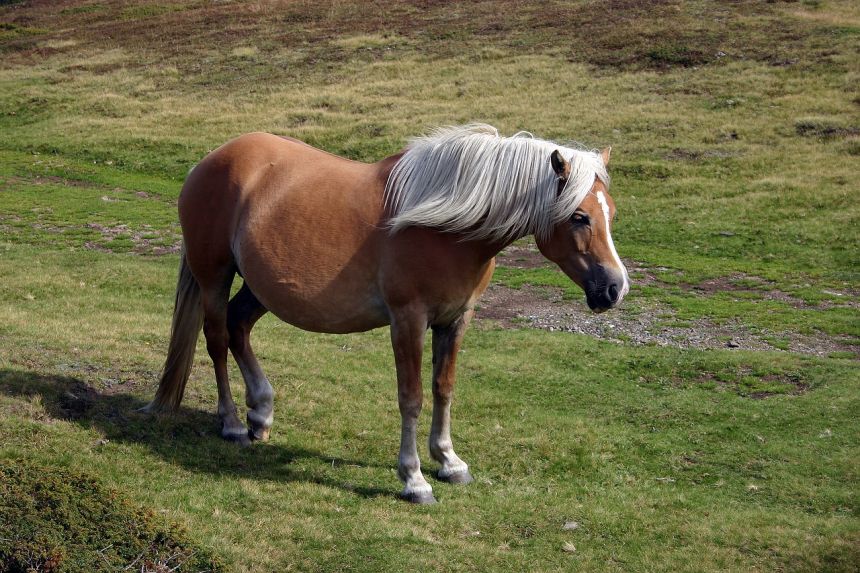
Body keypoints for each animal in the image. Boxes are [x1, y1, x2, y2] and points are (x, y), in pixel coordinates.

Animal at [144, 124, 628, 500]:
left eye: (611, 213)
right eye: (580, 217)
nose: (615, 288)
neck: (445, 225)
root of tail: (211, 161)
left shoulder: (456, 319)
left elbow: (443, 388)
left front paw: (449, 461)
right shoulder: (408, 320)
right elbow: (411, 397)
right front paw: (414, 479)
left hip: (260, 287)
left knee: (238, 327)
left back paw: (261, 414)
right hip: (214, 276)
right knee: (217, 339)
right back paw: (230, 423)